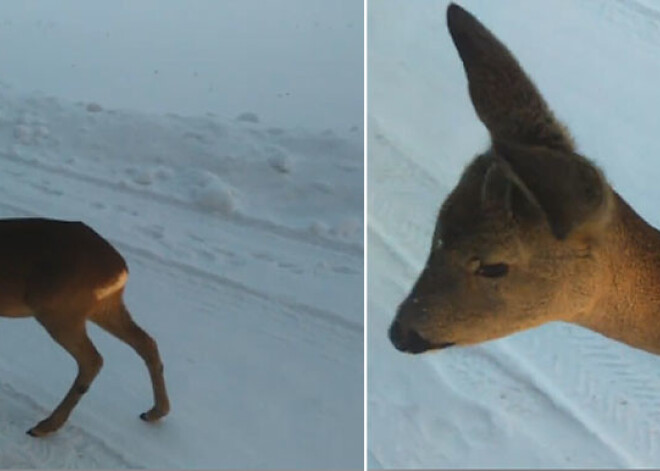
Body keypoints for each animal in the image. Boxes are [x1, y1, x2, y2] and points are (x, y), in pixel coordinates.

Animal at [1, 219, 170, 436]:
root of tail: (120, 271)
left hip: (60, 311)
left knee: (92, 359)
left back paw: (44, 426)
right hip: (105, 307)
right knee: (146, 342)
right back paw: (155, 412)